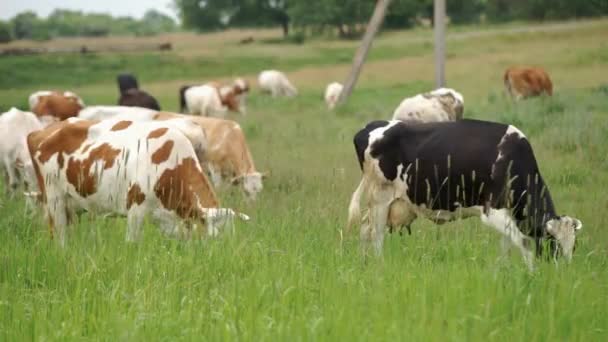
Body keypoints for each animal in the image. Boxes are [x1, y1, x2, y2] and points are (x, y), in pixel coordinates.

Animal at [27, 117, 251, 246]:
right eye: (216, 238)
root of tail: (43, 131)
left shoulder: (169, 218)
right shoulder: (135, 208)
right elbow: (132, 243)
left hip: (72, 205)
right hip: (54, 200)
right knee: (59, 236)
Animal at [346, 120, 580, 270]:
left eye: (574, 247)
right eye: (554, 245)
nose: (564, 272)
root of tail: (370, 126)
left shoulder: (507, 213)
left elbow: (507, 243)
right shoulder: (492, 211)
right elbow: (523, 243)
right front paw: (532, 274)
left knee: (365, 229)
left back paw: (363, 263)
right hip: (380, 197)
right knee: (375, 234)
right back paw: (379, 266)